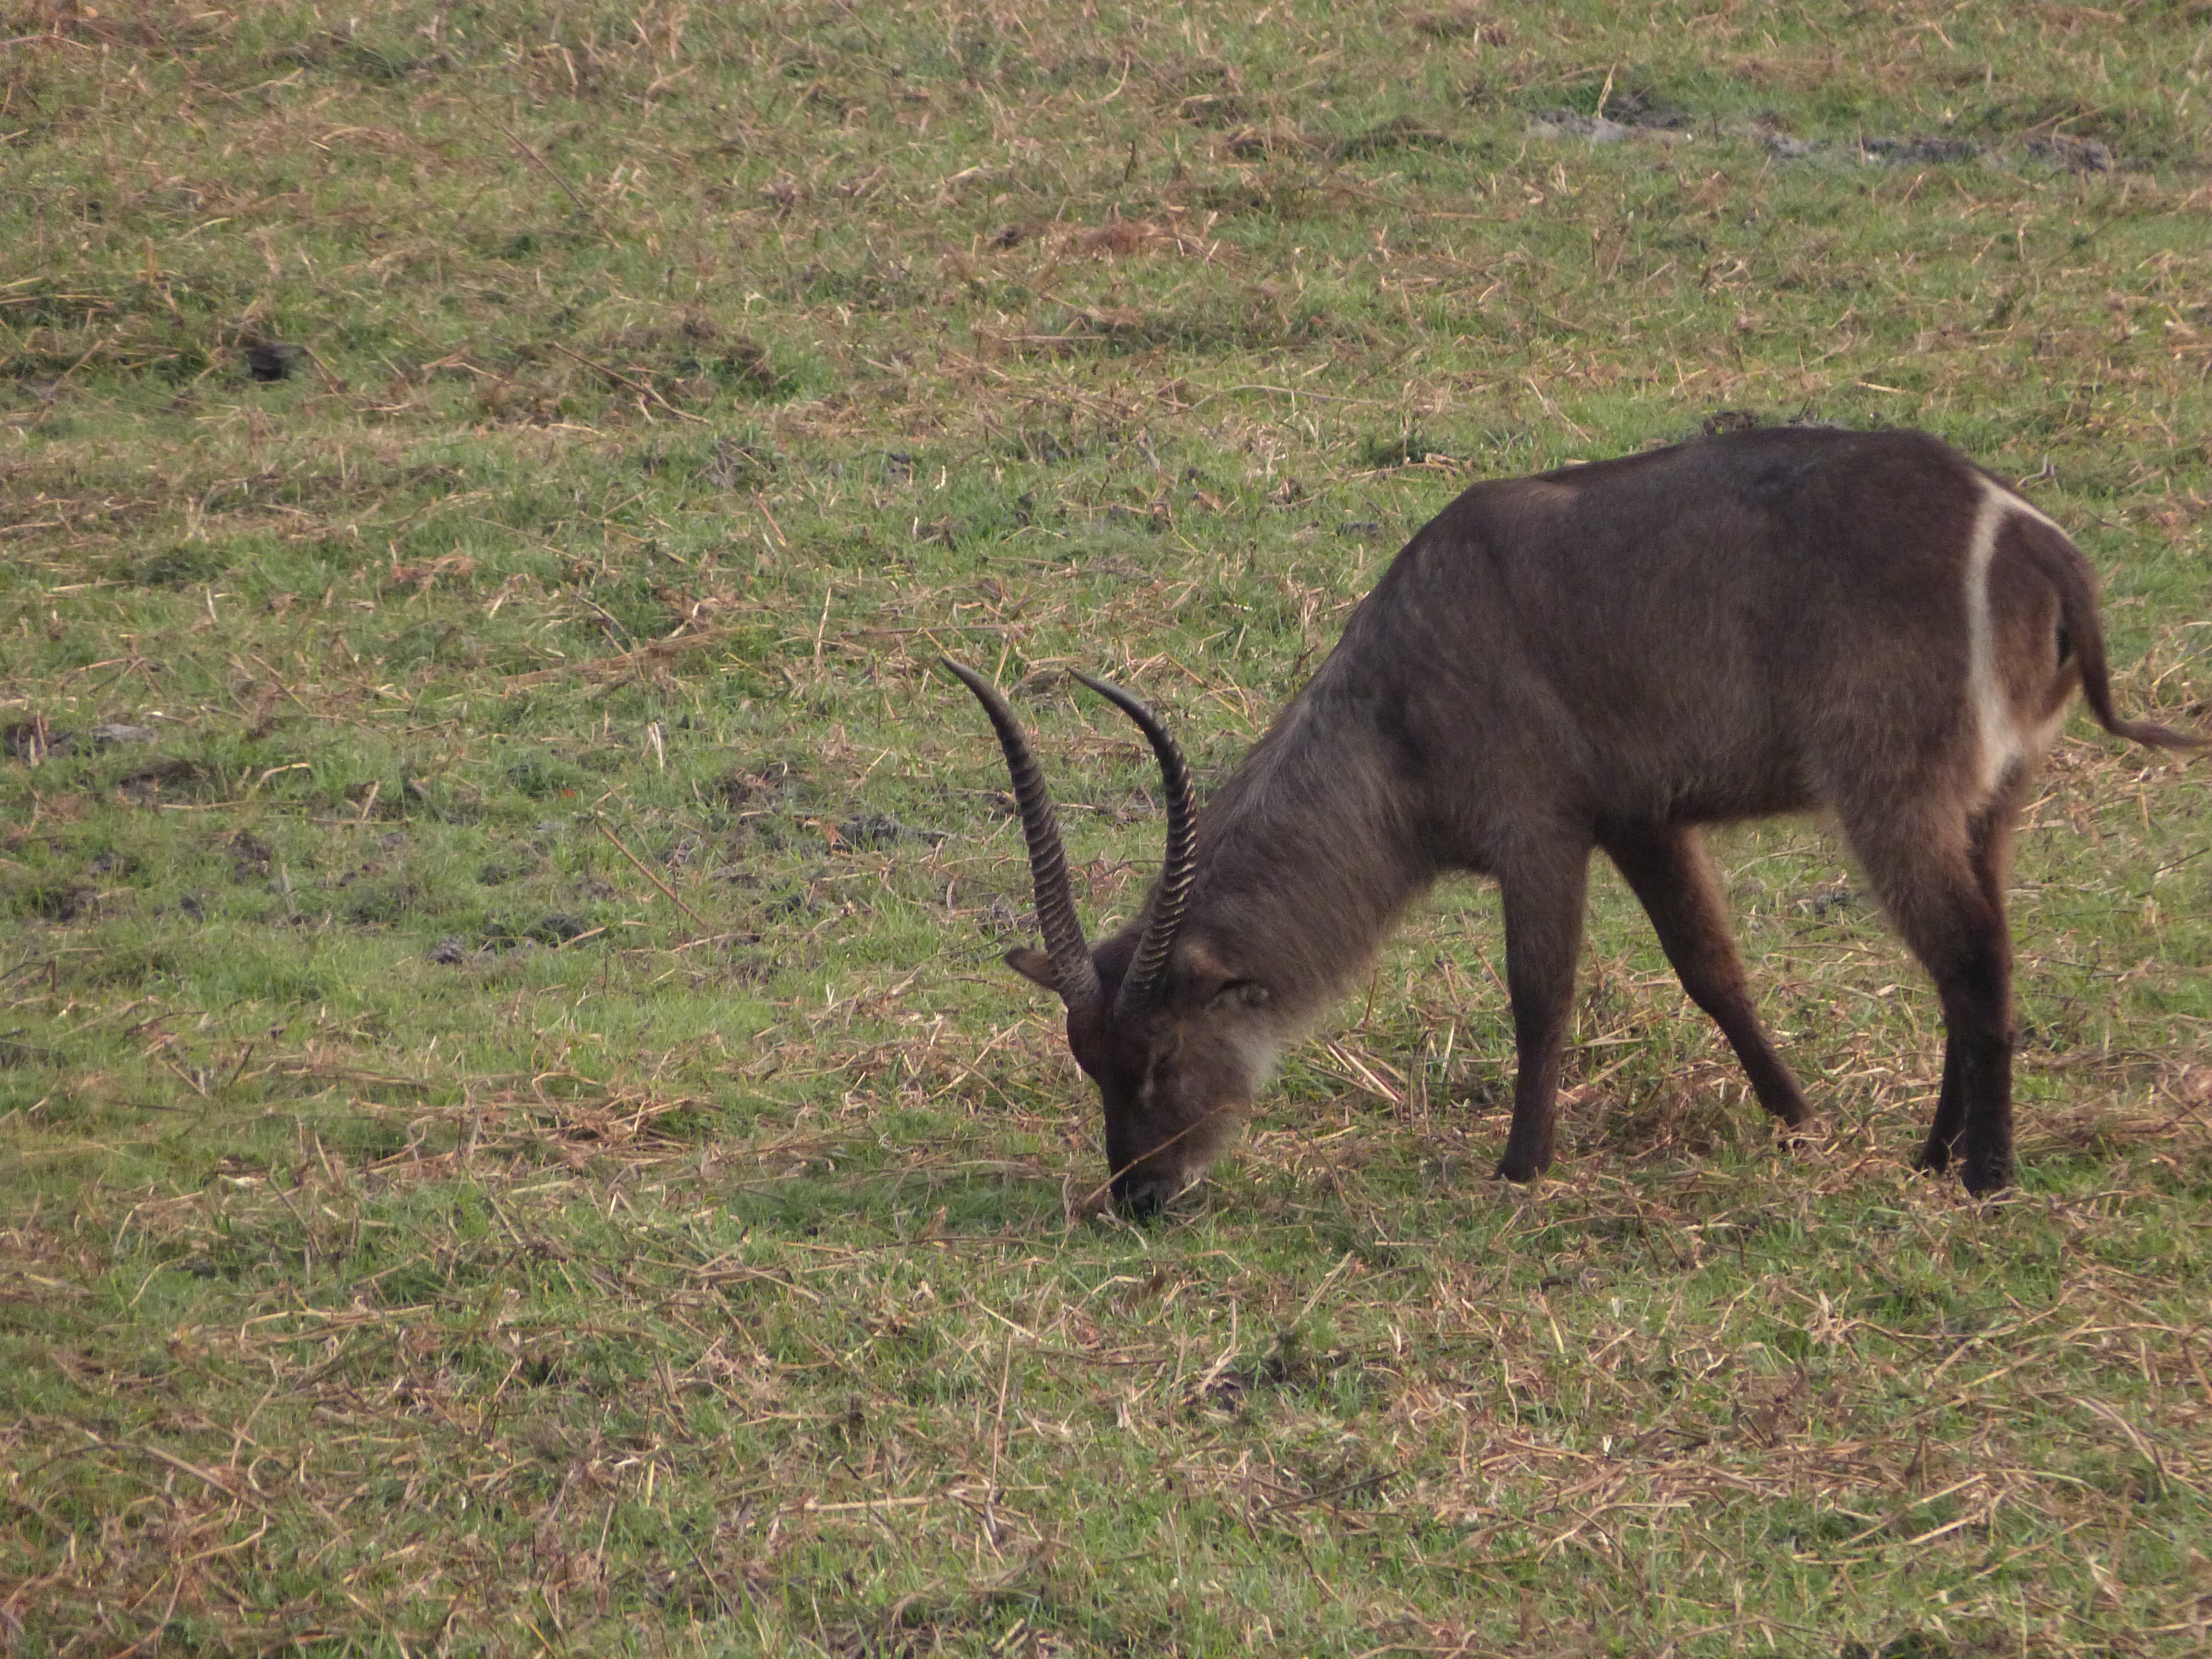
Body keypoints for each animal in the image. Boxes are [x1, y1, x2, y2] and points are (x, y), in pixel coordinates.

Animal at [947, 422, 2194, 1212]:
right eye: (1088, 1063)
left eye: (1155, 1056)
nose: (1137, 1196)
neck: (1396, 697)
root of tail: (2025, 531)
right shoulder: (1642, 821)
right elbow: (1713, 972)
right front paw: (1796, 1117)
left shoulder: (1537, 829)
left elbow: (1539, 996)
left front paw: (1520, 1167)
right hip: (1987, 799)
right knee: (1969, 961)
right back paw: (1933, 1154)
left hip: (1892, 792)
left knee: (1971, 960)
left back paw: (1986, 1177)